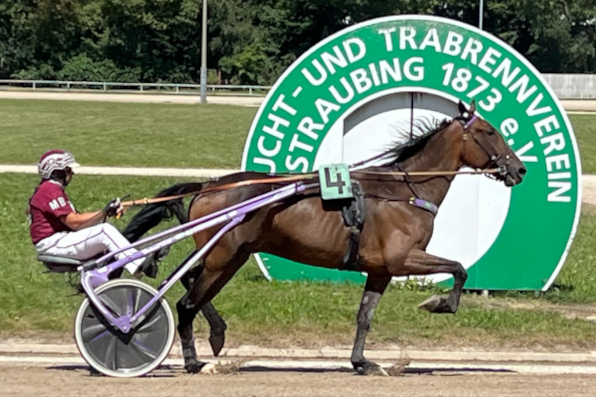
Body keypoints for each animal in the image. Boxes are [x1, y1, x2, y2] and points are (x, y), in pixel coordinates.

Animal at [122, 100, 528, 372]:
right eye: (489, 132)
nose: (520, 169)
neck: (404, 190)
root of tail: (208, 185)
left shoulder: (381, 269)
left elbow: (365, 315)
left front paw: (361, 362)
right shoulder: (403, 258)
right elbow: (459, 268)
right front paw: (438, 303)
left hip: (226, 255)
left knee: (191, 282)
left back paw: (217, 334)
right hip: (225, 255)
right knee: (186, 301)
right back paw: (192, 359)